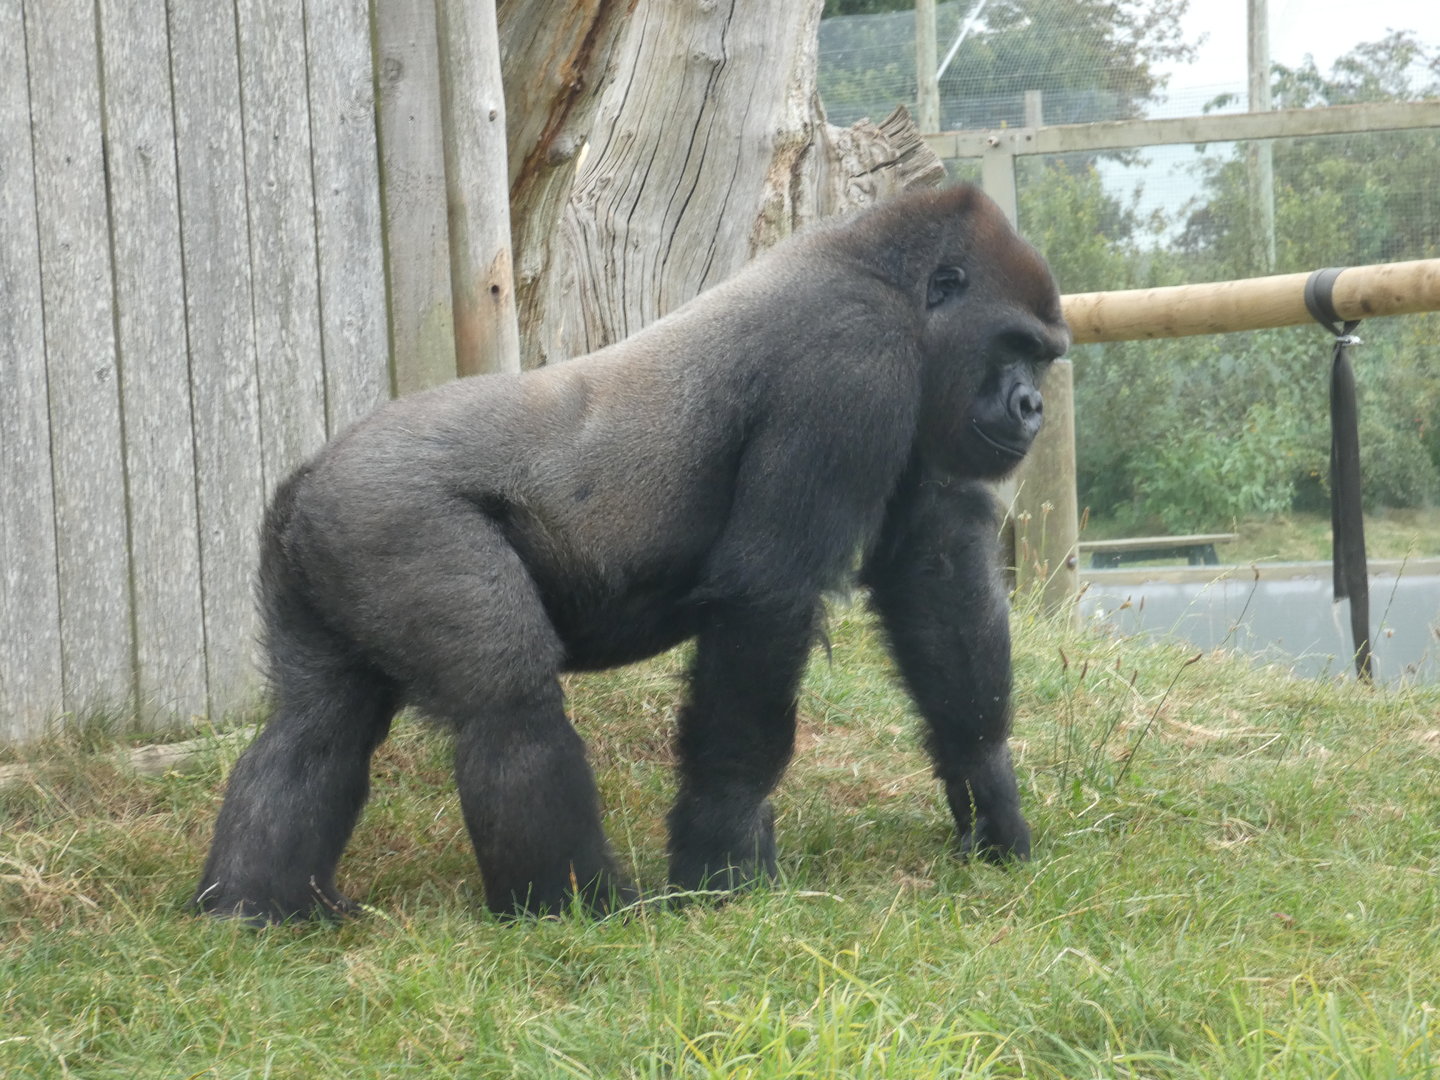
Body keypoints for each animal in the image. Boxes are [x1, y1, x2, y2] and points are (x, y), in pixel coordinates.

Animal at [193, 183, 1069, 924]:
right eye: (1014, 345)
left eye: (1044, 356)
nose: (1032, 407)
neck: (881, 272)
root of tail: (310, 477)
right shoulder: (851, 361)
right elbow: (767, 599)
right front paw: (722, 852)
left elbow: (934, 573)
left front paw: (989, 790)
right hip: (394, 518)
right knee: (508, 705)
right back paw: (575, 905)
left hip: (322, 546)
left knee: (317, 726)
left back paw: (257, 907)